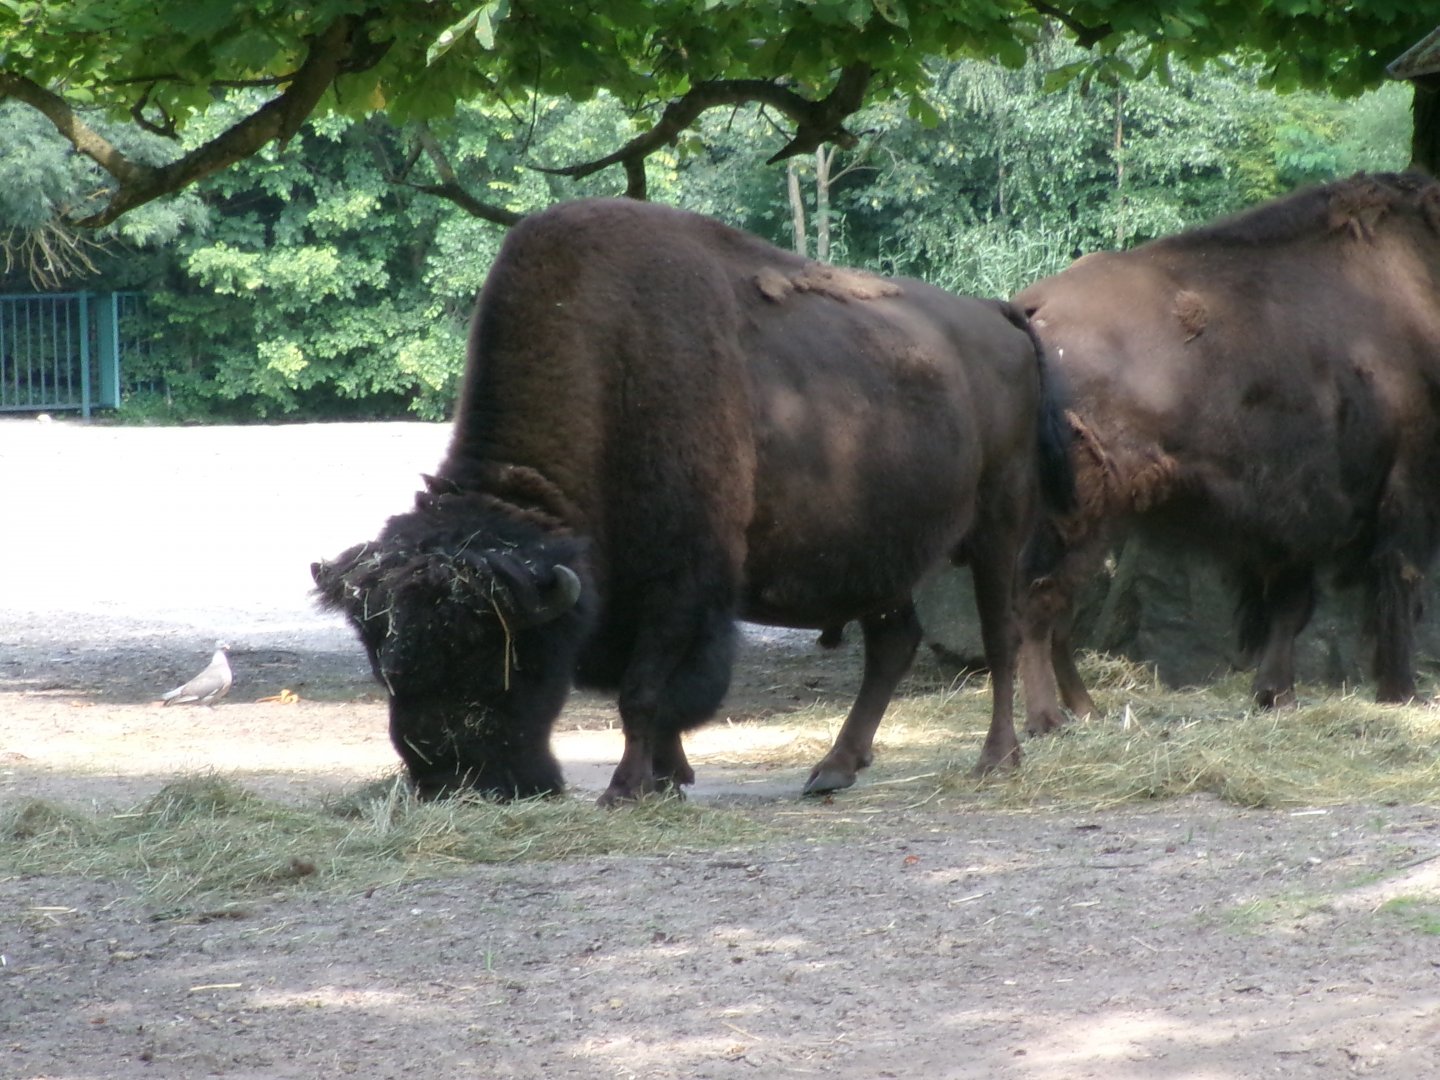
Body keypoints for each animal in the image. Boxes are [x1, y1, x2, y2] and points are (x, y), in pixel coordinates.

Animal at [314, 198, 1072, 803]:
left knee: (1000, 635)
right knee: (893, 642)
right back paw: (833, 769)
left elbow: (645, 691)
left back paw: (997, 759)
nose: (451, 780)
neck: (610, 376)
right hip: (884, 554)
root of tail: (999, 316)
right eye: (384, 662)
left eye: (498, 653)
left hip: (998, 526)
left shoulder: (680, 585)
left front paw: (627, 789)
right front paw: (667, 777)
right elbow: (649, 696)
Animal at [1014, 171, 1440, 736]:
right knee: (1040, 603)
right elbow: (1399, 582)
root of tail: (1030, 309)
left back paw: (1086, 710)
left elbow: (1291, 605)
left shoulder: (1295, 519)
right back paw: (1047, 719)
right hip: (1079, 515)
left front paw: (1276, 695)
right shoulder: (1407, 488)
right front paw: (1403, 692)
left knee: (1055, 611)